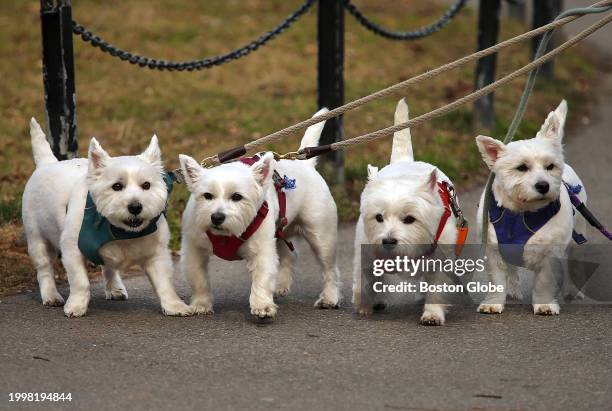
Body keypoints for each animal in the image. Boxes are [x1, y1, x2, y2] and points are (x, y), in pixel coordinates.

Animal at [178, 111, 340, 320]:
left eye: (237, 197)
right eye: (207, 196)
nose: (216, 217)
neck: (226, 235)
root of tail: (306, 165)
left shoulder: (262, 249)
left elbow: (262, 278)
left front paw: (262, 306)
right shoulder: (193, 249)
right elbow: (198, 278)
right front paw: (201, 304)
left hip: (321, 235)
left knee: (329, 268)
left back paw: (329, 298)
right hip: (280, 232)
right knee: (289, 255)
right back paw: (280, 286)